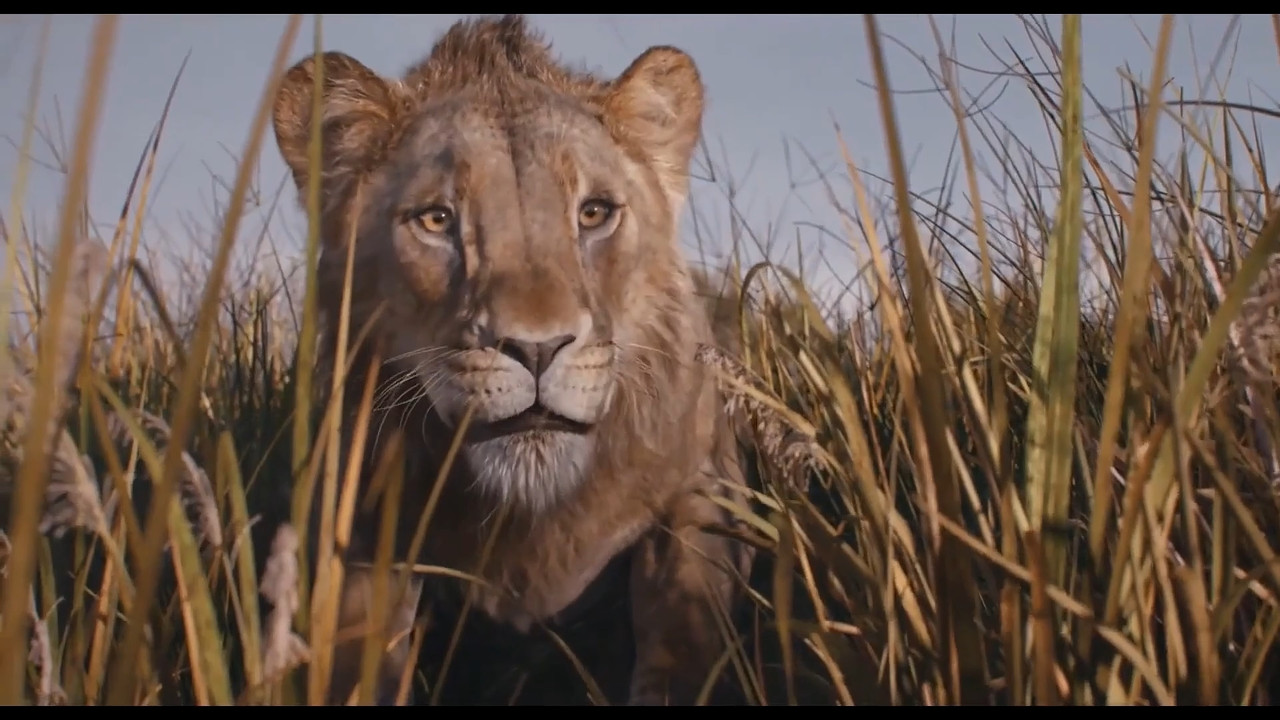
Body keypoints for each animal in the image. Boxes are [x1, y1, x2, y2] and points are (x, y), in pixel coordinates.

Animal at [271, 14, 754, 706]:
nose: (537, 347)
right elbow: (349, 666)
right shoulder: (357, 535)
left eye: (594, 213)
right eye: (437, 219)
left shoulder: (701, 495)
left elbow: (684, 648)